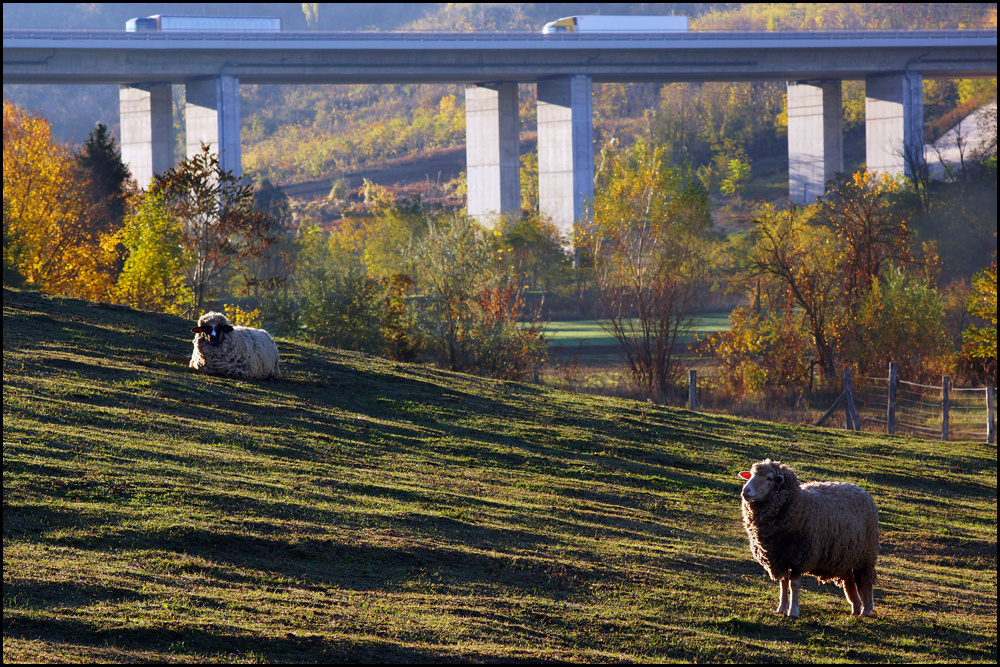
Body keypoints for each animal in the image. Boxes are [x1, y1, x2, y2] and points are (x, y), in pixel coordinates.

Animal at [740, 460, 880, 620]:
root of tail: (860, 489)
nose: (745, 490)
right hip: (844, 554)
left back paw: (866, 610)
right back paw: (855, 608)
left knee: (866, 580)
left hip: (866, 553)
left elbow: (793, 584)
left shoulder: (800, 557)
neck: (798, 505)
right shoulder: (779, 558)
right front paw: (781, 608)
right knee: (849, 580)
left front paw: (793, 611)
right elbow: (783, 582)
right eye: (751, 475)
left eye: (769, 478)